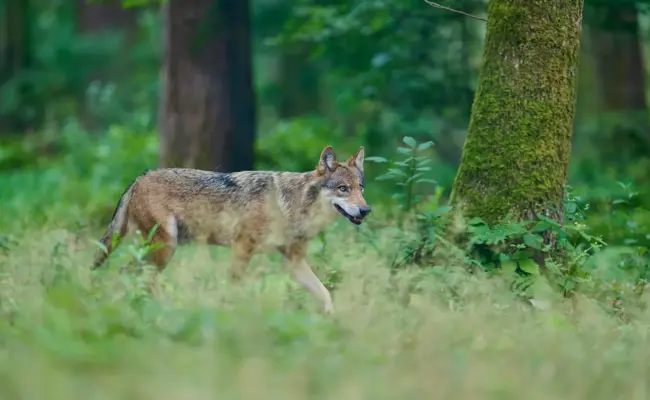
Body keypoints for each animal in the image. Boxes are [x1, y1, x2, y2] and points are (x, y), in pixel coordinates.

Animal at [91, 145, 371, 313]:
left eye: (361, 188)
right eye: (343, 189)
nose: (366, 210)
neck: (290, 205)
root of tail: (139, 177)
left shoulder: (294, 262)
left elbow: (326, 295)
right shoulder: (242, 248)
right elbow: (234, 288)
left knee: (130, 274)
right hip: (165, 247)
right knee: (133, 275)